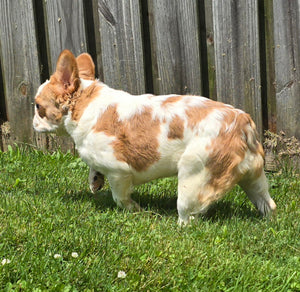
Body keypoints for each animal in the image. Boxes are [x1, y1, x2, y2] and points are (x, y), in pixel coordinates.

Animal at [32, 49, 276, 224]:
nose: (33, 122)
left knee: (189, 215)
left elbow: (120, 198)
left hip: (194, 178)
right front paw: (95, 180)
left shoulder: (118, 172)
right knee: (268, 204)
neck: (85, 103)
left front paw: (135, 211)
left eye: (37, 107)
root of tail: (242, 124)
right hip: (254, 177)